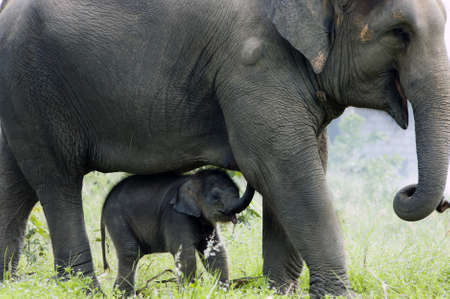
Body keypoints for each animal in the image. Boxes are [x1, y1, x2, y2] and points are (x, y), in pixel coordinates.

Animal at [100, 170, 255, 296]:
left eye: (237, 191)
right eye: (215, 196)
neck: (190, 179)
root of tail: (106, 199)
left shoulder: (205, 222)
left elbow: (214, 252)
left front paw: (222, 292)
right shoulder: (175, 216)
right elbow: (184, 253)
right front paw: (189, 293)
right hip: (116, 217)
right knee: (130, 252)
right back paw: (123, 295)